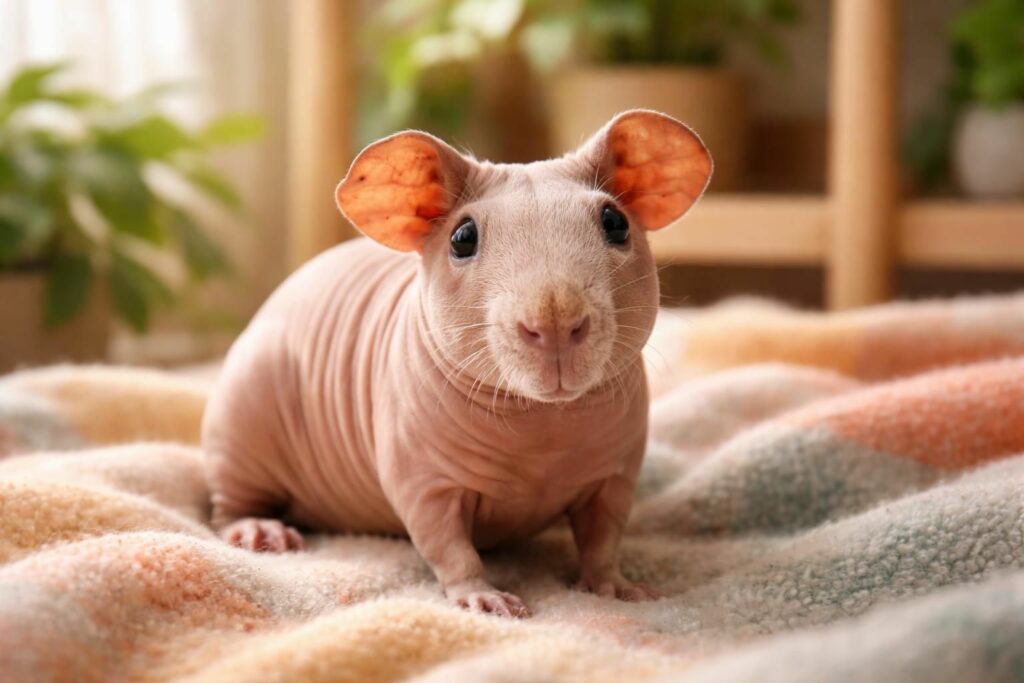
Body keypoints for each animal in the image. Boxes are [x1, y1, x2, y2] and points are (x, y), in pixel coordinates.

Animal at [202, 110, 712, 617]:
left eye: (615, 222)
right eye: (463, 238)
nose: (554, 322)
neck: (540, 418)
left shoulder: (615, 472)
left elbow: (605, 532)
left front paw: (614, 585)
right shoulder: (424, 474)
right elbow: (444, 539)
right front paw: (482, 595)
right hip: (244, 409)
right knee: (228, 500)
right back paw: (257, 528)